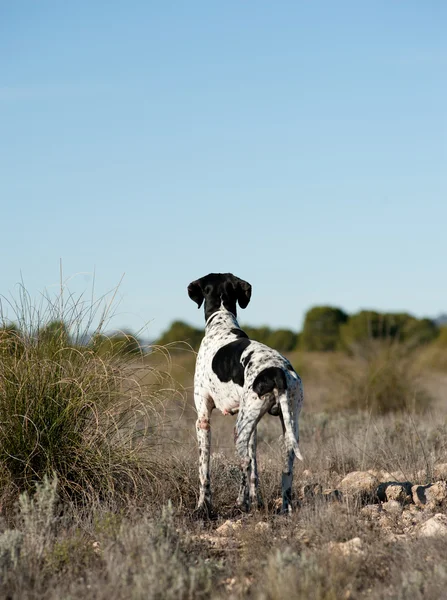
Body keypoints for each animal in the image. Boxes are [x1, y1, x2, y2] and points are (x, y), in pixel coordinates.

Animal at [187, 274, 302, 516]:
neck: (222, 323)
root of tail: (277, 371)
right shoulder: (253, 425)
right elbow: (255, 471)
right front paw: (256, 501)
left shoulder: (203, 420)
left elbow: (204, 470)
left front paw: (203, 505)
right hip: (286, 424)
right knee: (286, 469)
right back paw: (283, 509)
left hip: (238, 429)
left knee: (244, 462)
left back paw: (242, 502)